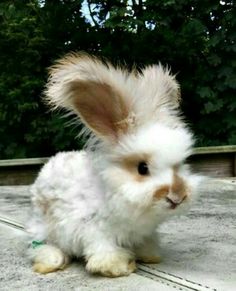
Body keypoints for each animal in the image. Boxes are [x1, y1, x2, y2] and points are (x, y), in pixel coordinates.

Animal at [25, 53, 199, 278]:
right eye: (142, 168)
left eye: (180, 164)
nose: (177, 196)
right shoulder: (93, 228)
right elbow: (104, 249)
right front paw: (118, 266)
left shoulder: (144, 233)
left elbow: (146, 244)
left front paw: (150, 256)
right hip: (44, 226)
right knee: (38, 246)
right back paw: (51, 261)